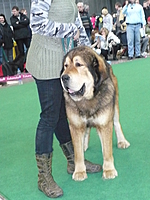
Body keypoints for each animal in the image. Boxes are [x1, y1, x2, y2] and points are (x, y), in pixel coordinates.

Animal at [60, 46, 129, 182]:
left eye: (78, 64)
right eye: (66, 66)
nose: (63, 77)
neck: (87, 100)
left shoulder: (104, 124)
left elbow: (107, 151)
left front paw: (108, 170)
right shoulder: (75, 126)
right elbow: (77, 154)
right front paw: (79, 171)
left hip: (115, 104)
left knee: (116, 123)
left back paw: (122, 141)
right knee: (86, 130)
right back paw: (84, 145)